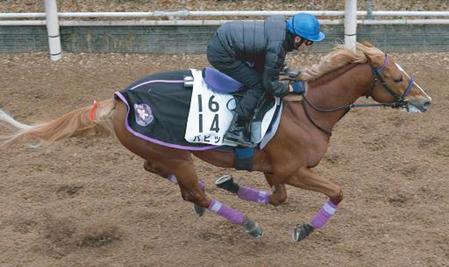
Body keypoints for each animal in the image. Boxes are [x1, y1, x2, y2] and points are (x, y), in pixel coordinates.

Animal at [1, 42, 432, 243]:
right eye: (395, 77)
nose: (425, 101)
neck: (307, 108)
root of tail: (120, 98)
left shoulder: (275, 170)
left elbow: (277, 198)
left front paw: (233, 182)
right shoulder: (294, 170)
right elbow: (337, 192)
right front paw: (304, 229)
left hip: (167, 153)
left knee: (163, 174)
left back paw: (207, 192)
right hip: (178, 156)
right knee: (194, 190)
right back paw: (246, 223)